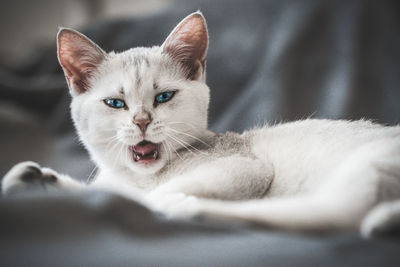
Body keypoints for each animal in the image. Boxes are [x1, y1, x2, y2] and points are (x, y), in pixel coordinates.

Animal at [2, 11, 400, 240]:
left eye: (163, 97)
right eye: (116, 103)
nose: (142, 121)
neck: (137, 178)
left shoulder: (243, 167)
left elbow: (137, 198)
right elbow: (96, 191)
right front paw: (35, 178)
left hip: (358, 168)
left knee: (323, 214)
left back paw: (184, 207)